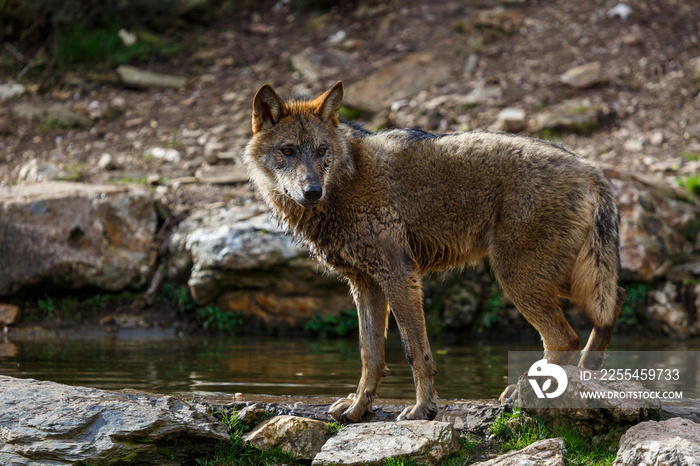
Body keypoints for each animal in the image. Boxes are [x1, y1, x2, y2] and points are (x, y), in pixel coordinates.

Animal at [243, 81, 628, 422]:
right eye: (288, 151)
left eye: (322, 150)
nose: (312, 191)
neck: (347, 181)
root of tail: (592, 169)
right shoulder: (365, 285)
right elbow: (371, 355)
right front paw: (358, 409)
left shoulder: (399, 276)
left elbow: (415, 352)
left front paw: (422, 409)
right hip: (562, 278)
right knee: (616, 298)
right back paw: (587, 373)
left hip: (518, 278)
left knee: (565, 337)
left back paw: (528, 391)